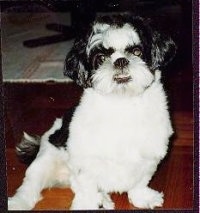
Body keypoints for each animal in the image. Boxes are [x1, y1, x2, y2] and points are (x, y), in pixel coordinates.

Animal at [8, 14, 176, 211]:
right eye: (101, 58)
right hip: (44, 161)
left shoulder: (150, 157)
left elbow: (140, 182)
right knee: (31, 185)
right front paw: (87, 204)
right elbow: (86, 186)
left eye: (136, 52)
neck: (122, 105)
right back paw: (19, 203)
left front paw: (142, 197)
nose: (121, 60)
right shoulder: (84, 162)